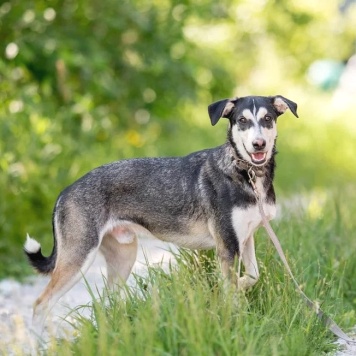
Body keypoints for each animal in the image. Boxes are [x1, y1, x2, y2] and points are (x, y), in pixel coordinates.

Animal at [24, 94, 298, 330]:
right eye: (242, 120)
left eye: (267, 119)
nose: (258, 144)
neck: (246, 173)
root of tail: (65, 191)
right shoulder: (228, 246)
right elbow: (233, 290)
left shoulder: (245, 237)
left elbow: (253, 275)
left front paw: (239, 286)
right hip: (78, 256)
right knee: (40, 304)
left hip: (123, 257)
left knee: (104, 302)